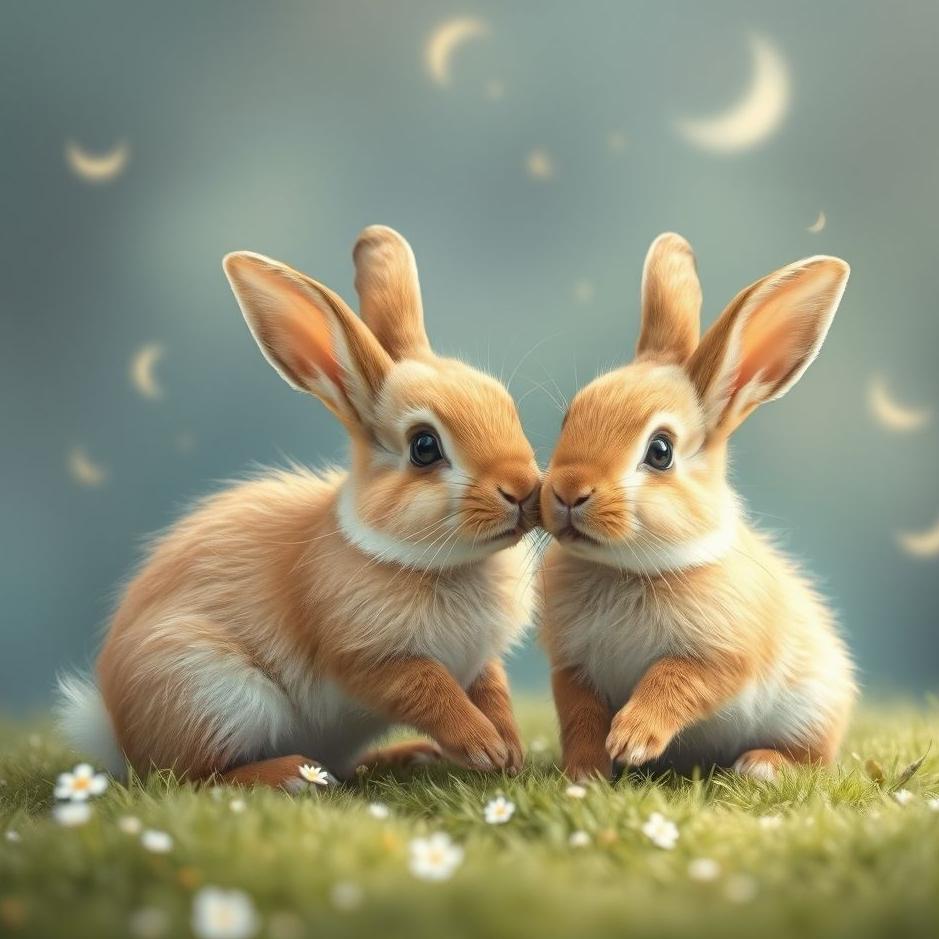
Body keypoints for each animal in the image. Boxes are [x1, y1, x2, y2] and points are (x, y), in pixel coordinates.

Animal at [58, 225, 540, 789]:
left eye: (506, 406)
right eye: (424, 446)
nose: (523, 488)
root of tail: (117, 734)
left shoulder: (479, 661)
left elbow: (493, 688)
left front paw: (509, 749)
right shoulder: (368, 659)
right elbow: (429, 689)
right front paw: (484, 746)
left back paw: (404, 756)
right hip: (213, 692)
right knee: (194, 776)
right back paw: (292, 774)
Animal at [537, 232, 856, 783]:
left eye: (660, 451)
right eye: (569, 417)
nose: (568, 491)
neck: (624, 569)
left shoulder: (720, 657)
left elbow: (674, 683)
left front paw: (632, 739)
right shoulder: (572, 669)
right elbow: (580, 716)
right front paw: (586, 773)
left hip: (811, 708)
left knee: (813, 757)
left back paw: (762, 765)